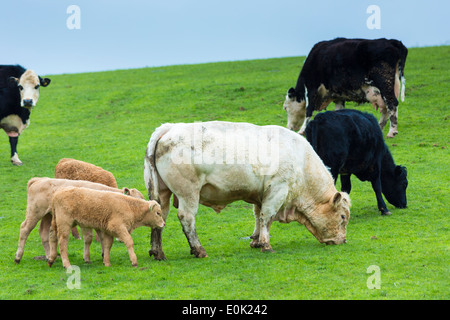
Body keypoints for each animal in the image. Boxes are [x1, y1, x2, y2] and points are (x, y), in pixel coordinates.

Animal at [14, 176, 144, 264]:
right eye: (136, 201)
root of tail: (38, 179)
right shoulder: (86, 222)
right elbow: (89, 238)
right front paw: (87, 258)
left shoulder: (100, 223)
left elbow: (102, 238)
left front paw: (103, 255)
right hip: (34, 213)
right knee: (24, 229)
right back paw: (18, 257)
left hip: (48, 216)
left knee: (44, 233)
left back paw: (49, 256)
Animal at [144, 120, 352, 260]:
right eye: (342, 217)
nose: (343, 241)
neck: (301, 160)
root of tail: (169, 127)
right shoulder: (277, 190)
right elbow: (267, 217)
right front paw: (266, 245)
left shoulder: (261, 195)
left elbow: (258, 216)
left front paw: (256, 240)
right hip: (188, 193)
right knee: (187, 218)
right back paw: (198, 249)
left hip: (162, 193)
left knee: (159, 215)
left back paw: (158, 252)